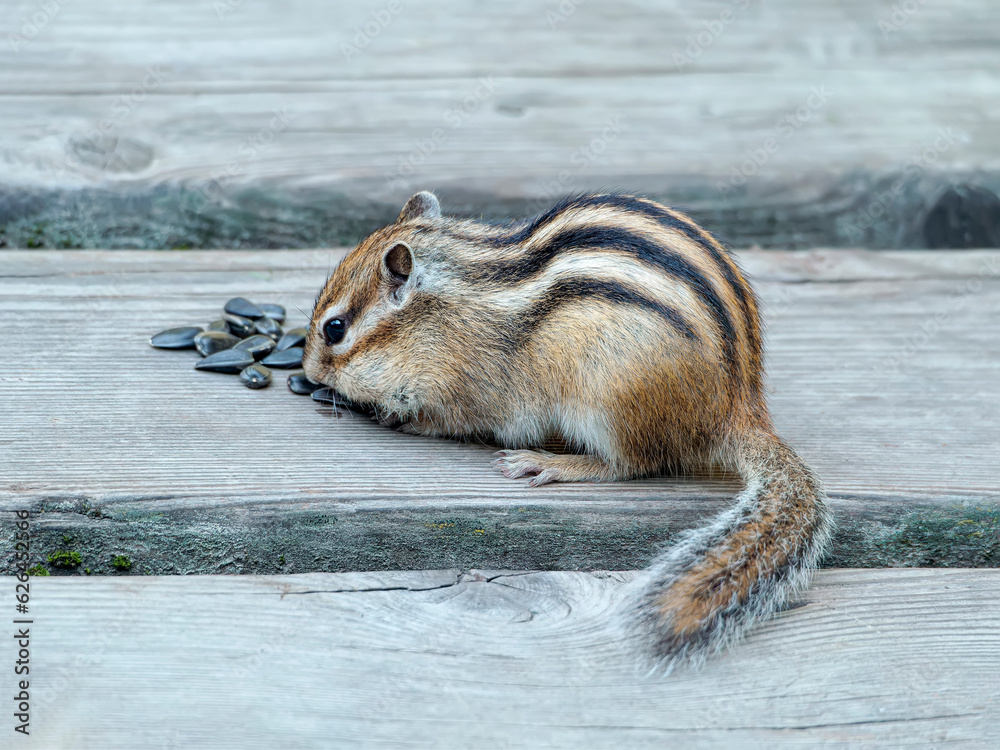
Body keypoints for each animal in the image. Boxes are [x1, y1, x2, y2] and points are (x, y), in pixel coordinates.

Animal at [303, 191, 833, 669]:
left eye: (335, 329)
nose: (307, 371)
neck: (441, 313)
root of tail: (737, 408)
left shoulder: (470, 391)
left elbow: (447, 419)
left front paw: (399, 417)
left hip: (609, 402)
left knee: (631, 464)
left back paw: (552, 462)